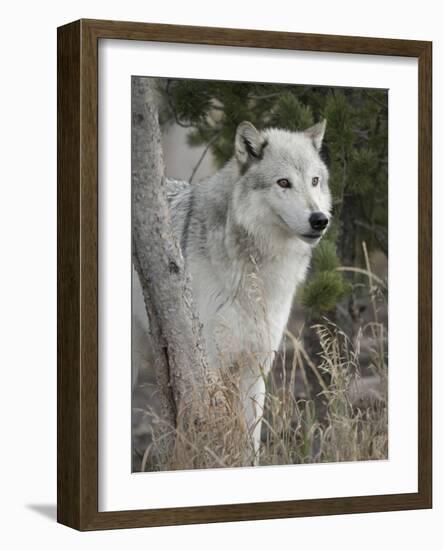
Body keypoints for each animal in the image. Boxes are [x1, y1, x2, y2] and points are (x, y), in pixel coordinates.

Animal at [134, 119, 332, 466]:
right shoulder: (211, 362)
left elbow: (251, 439)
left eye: (315, 181)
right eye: (284, 183)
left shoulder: (256, 365)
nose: (320, 219)